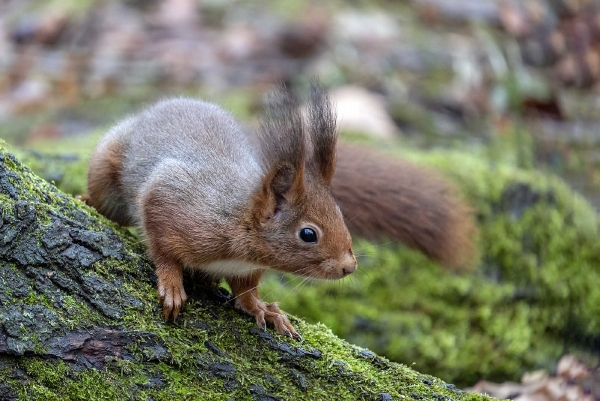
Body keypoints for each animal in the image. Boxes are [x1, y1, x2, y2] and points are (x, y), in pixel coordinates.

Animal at [85, 84, 356, 338]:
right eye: (308, 234)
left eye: (340, 214)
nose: (350, 267)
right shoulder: (170, 200)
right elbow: (163, 251)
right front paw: (171, 285)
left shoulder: (247, 271)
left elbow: (246, 291)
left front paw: (262, 308)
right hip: (106, 171)